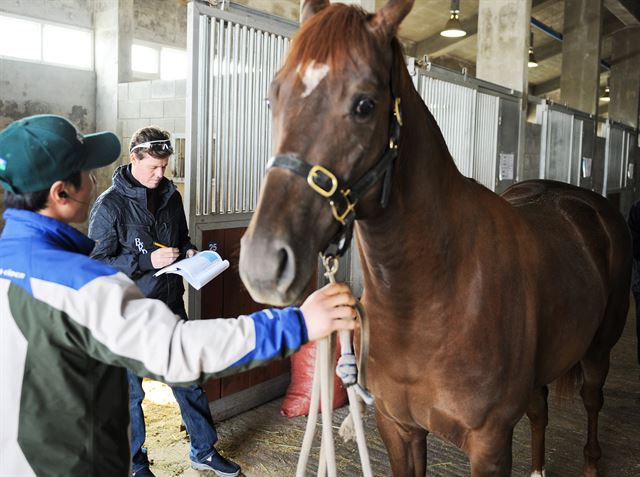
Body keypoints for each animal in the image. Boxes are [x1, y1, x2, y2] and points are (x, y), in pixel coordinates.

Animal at [238, 1, 632, 474]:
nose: (263, 263)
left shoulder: (490, 444)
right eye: (273, 96)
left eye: (365, 104)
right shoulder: (399, 429)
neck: (435, 298)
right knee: (540, 410)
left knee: (592, 403)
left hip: (598, 351)